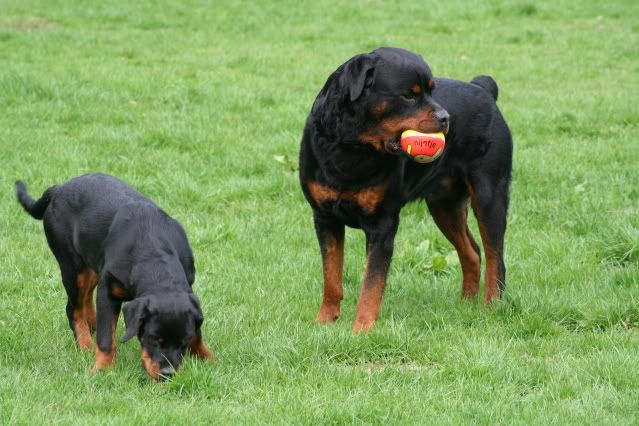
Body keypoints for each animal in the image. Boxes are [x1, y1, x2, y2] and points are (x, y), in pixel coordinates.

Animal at [15, 173, 214, 380]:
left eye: (184, 342)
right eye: (153, 338)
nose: (167, 374)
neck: (153, 254)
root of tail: (58, 189)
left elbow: (198, 332)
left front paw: (205, 356)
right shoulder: (108, 290)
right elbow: (106, 337)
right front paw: (102, 368)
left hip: (92, 262)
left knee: (87, 296)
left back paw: (92, 323)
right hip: (72, 266)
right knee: (74, 308)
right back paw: (85, 344)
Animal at [300, 47, 516, 332]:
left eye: (431, 91)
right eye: (408, 95)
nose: (446, 118)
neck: (352, 146)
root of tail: (483, 89)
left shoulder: (383, 224)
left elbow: (372, 284)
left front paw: (362, 329)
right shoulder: (325, 219)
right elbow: (331, 276)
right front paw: (325, 319)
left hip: (489, 196)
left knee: (495, 256)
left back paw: (491, 305)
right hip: (444, 205)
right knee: (472, 252)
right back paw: (465, 304)